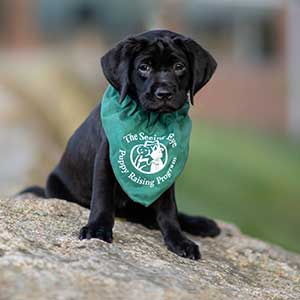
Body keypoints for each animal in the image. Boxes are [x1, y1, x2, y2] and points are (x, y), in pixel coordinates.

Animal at [22, 29, 220, 260]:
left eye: (179, 67)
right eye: (144, 67)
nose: (164, 94)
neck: (151, 122)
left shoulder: (167, 172)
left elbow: (169, 210)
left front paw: (179, 240)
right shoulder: (106, 160)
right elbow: (102, 198)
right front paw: (97, 228)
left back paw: (198, 223)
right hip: (56, 185)